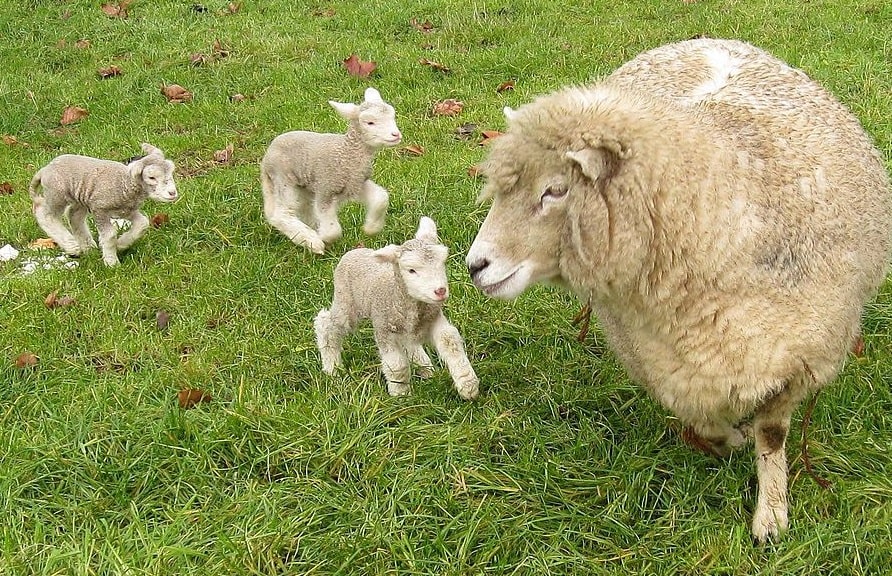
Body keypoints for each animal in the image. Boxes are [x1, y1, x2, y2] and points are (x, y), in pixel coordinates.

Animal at [29, 143, 178, 267]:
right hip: (57, 194)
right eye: (151, 177)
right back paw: (72, 246)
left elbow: (143, 223)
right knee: (45, 214)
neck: (125, 183)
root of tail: (45, 169)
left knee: (73, 215)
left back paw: (88, 246)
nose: (172, 193)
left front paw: (121, 244)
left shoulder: (127, 210)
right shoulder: (100, 209)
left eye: (171, 172)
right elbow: (110, 235)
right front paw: (112, 262)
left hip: (80, 197)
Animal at [261, 87, 402, 254]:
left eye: (392, 116)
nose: (396, 135)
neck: (346, 154)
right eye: (370, 122)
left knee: (302, 209)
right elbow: (332, 230)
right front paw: (324, 238)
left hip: (304, 186)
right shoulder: (326, 188)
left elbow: (381, 198)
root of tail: (265, 158)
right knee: (281, 214)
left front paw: (371, 228)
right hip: (283, 179)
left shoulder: (356, 183)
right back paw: (311, 241)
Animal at [315, 217, 479, 400]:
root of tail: (354, 252)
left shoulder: (434, 319)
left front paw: (468, 385)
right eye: (411, 270)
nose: (440, 291)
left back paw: (426, 368)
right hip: (346, 302)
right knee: (326, 324)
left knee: (411, 344)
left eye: (442, 263)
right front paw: (400, 395)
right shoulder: (384, 330)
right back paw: (332, 368)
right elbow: (397, 365)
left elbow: (449, 343)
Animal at [465, 38, 892, 541]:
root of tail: (708, 38)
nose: (474, 266)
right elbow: (705, 422)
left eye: (556, 190)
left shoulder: (796, 358)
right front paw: (732, 440)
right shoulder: (665, 364)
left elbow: (771, 436)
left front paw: (771, 516)